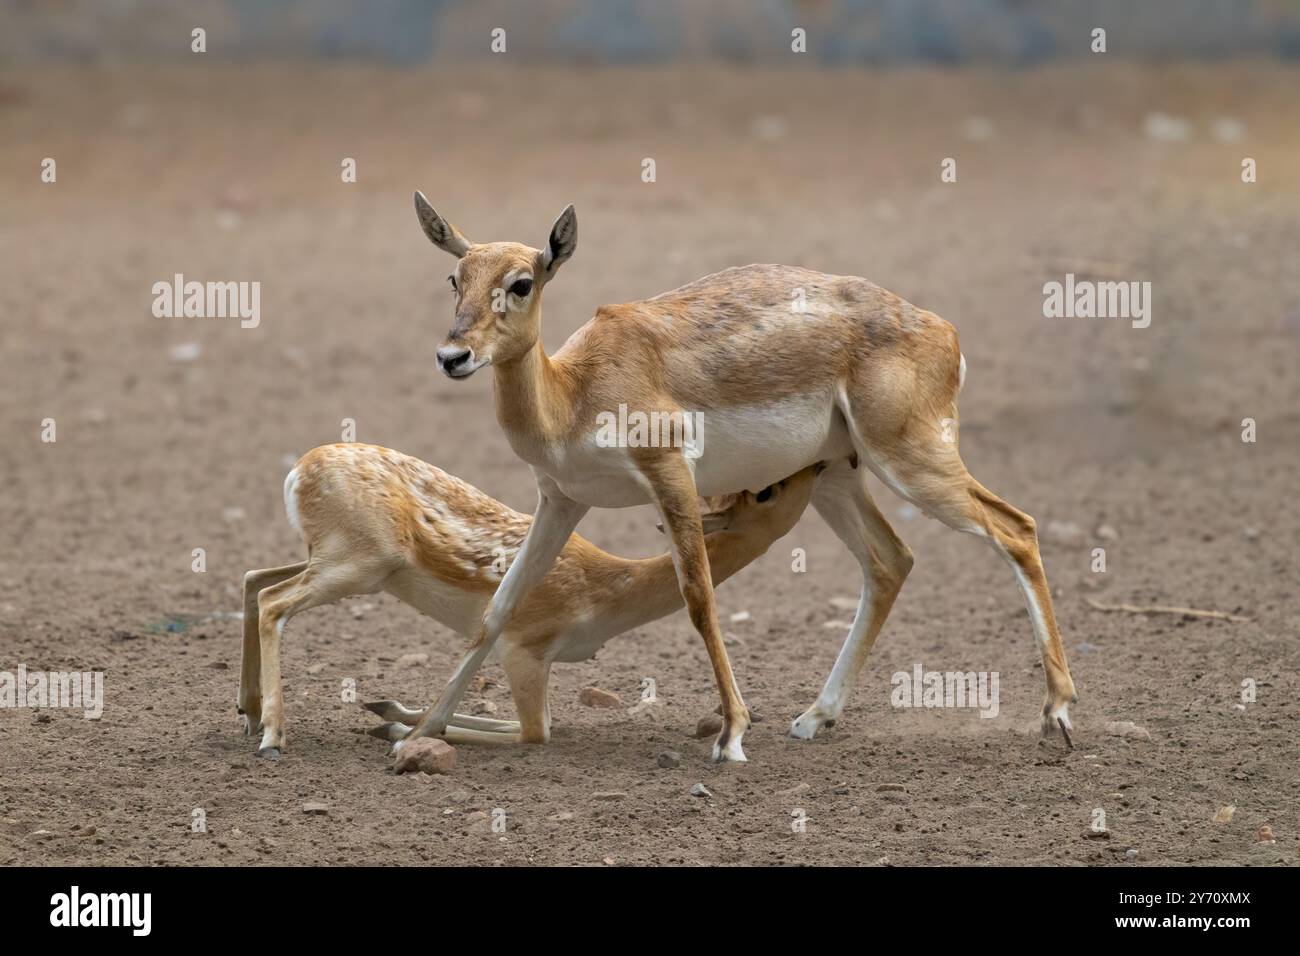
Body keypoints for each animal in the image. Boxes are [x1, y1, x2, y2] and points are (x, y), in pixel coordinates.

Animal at [238, 442, 822, 758]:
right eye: (766, 490)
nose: (814, 464)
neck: (604, 590)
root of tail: (302, 469)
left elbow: (530, 724)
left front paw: (390, 713)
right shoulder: (523, 653)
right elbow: (534, 733)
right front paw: (397, 727)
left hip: (337, 564)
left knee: (252, 578)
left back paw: (250, 715)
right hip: (357, 569)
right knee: (273, 601)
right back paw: (272, 737)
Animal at [403, 193, 1078, 763]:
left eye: (522, 283)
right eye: (456, 277)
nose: (451, 356)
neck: (573, 391)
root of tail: (942, 330)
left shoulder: (670, 476)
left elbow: (699, 598)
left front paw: (731, 734)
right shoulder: (561, 501)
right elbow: (499, 607)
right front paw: (420, 730)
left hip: (913, 462)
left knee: (1015, 528)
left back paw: (1059, 713)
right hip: (838, 478)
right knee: (891, 561)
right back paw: (815, 716)